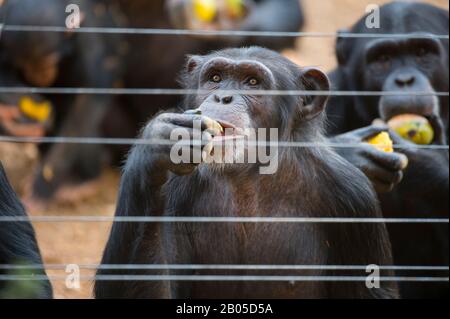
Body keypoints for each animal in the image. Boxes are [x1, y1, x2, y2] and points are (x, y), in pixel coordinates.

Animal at [0, 0, 123, 200]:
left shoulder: (85, 39)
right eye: (24, 63)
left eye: (49, 61)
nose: (40, 74)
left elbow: (86, 99)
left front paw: (41, 189)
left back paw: (81, 183)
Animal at [95, 47, 398, 300]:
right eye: (215, 78)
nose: (222, 97)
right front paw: (156, 143)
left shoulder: (354, 197)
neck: (248, 175)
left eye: (252, 82)